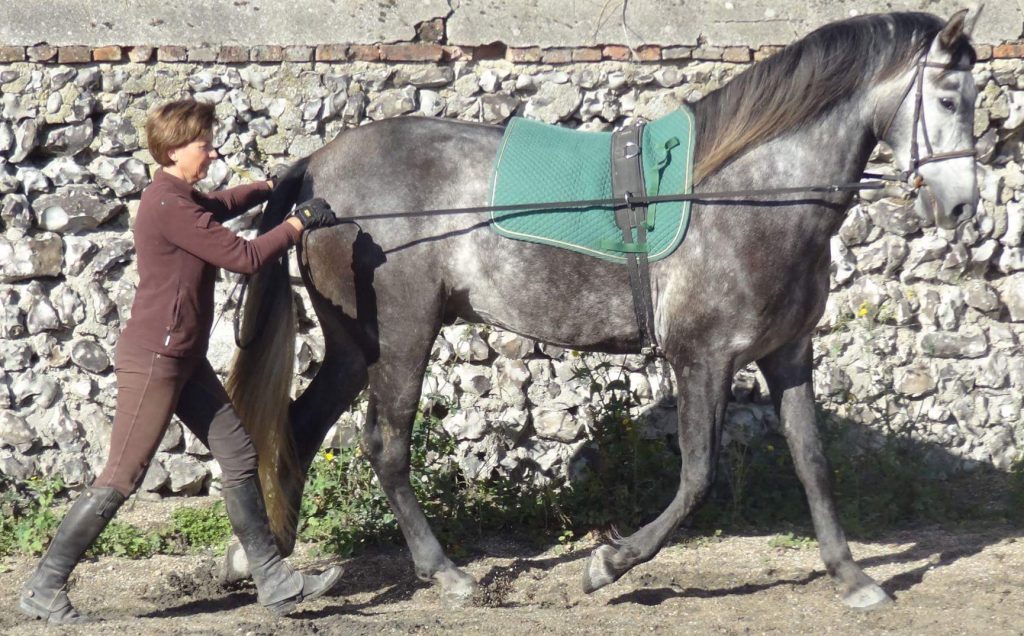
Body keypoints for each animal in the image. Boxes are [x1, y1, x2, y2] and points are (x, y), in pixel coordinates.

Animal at [227, 10, 980, 609]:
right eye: (948, 97)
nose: (962, 206)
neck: (750, 193)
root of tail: (316, 170)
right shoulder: (702, 359)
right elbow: (698, 479)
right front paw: (608, 564)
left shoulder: (787, 353)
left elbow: (813, 463)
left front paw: (854, 578)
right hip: (403, 336)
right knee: (384, 445)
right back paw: (444, 572)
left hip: (354, 343)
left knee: (300, 425)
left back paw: (262, 555)